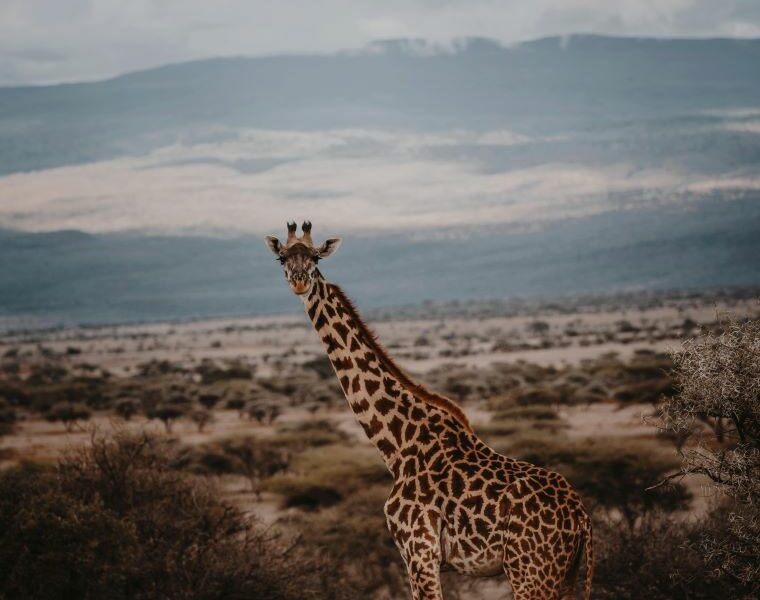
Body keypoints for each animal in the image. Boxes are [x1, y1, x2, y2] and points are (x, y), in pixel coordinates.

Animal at [265, 221, 593, 600]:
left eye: (316, 258)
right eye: (281, 258)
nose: (299, 281)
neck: (397, 444)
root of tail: (582, 517)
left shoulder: (419, 551)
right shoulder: (423, 556)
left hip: (530, 573)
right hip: (563, 576)